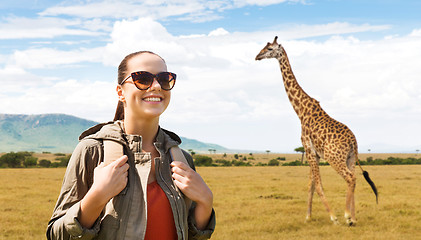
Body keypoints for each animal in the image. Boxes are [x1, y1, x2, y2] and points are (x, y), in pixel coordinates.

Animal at [256, 35, 378, 225]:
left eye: (269, 49)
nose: (257, 56)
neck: (300, 110)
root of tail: (353, 142)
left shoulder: (308, 148)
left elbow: (318, 185)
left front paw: (333, 217)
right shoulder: (314, 153)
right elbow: (311, 184)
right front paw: (308, 216)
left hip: (334, 158)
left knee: (350, 178)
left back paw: (346, 216)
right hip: (350, 158)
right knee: (354, 178)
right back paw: (353, 217)